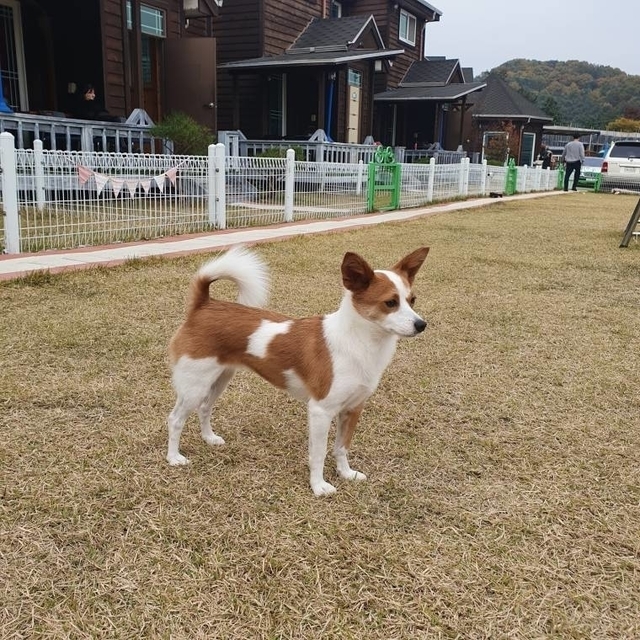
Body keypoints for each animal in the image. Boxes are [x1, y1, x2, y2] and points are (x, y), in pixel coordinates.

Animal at [166, 245, 429, 496]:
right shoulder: (321, 411)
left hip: (219, 378)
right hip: (195, 385)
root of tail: (204, 305)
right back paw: (174, 458)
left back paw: (209, 438)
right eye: (390, 303)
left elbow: (342, 447)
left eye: (412, 300)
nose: (422, 324)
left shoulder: (353, 408)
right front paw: (319, 486)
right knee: (175, 419)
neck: (357, 341)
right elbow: (319, 453)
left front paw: (346, 473)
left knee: (204, 408)